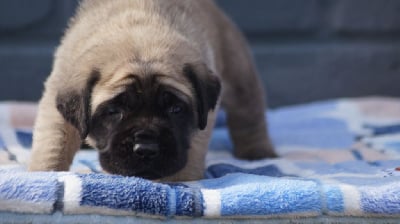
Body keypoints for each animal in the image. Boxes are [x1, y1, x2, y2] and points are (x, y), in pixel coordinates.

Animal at [28, 0, 276, 181]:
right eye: (113, 112)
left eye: (175, 110)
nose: (146, 149)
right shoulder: (57, 101)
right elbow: (53, 142)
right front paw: (45, 173)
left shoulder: (200, 122)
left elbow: (191, 150)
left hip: (239, 75)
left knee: (249, 115)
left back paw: (258, 152)